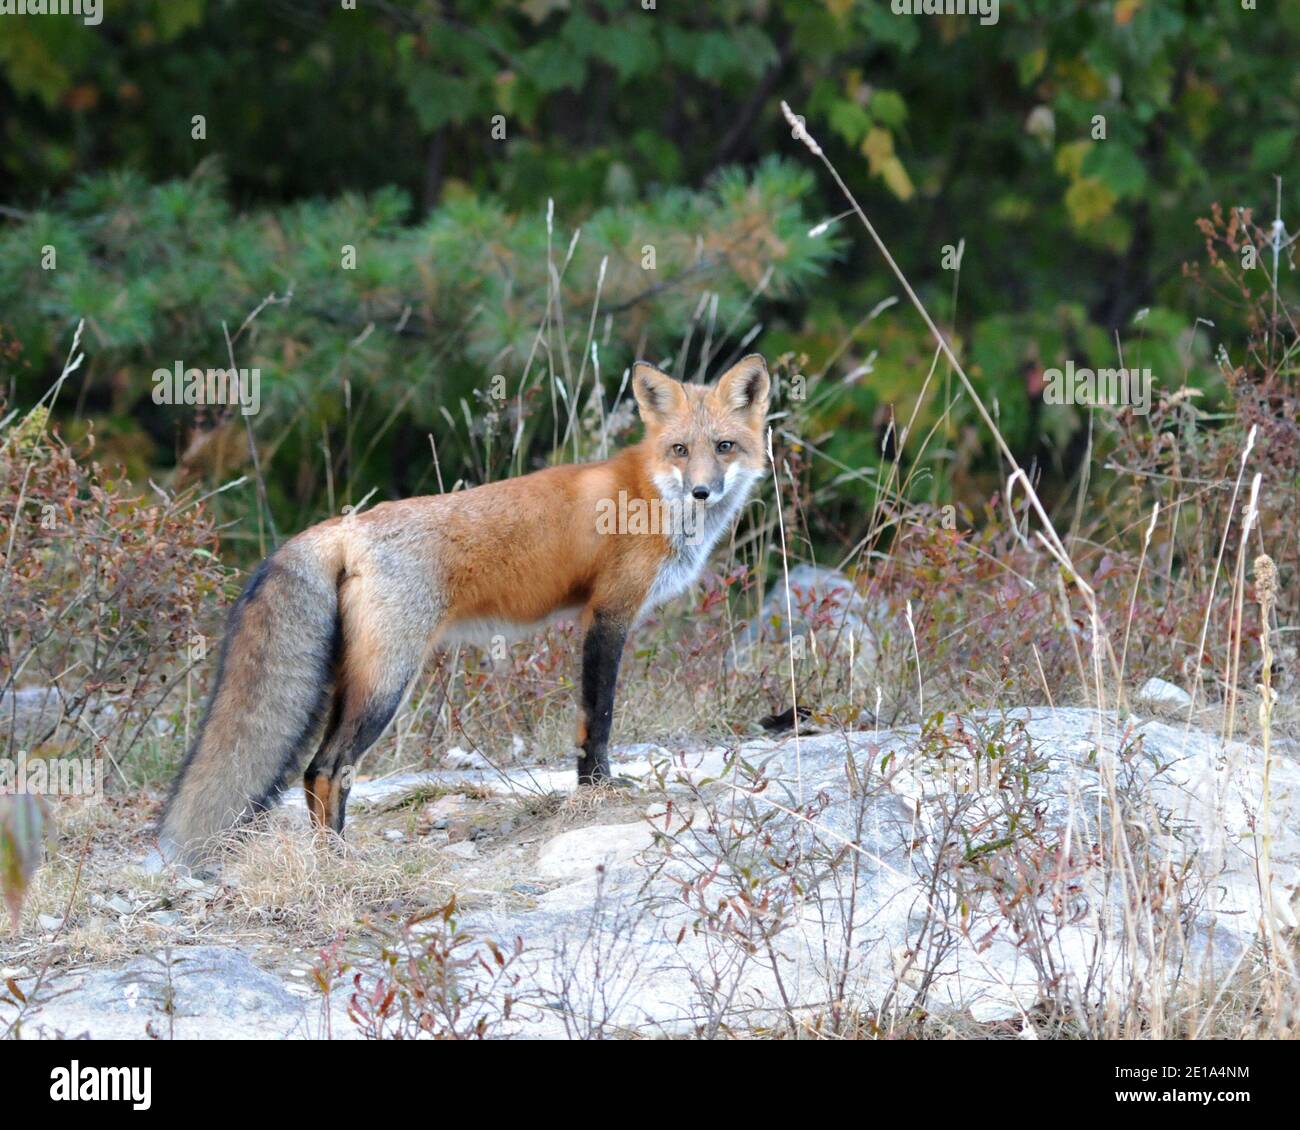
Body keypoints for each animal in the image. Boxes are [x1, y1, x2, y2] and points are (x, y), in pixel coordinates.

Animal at [162, 356, 769, 858]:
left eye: (724, 447)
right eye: (680, 450)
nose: (703, 492)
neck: (648, 494)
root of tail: (345, 525)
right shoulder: (608, 615)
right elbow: (597, 718)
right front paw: (598, 789)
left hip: (353, 679)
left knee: (314, 772)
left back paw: (328, 858)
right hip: (388, 681)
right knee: (328, 770)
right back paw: (340, 863)